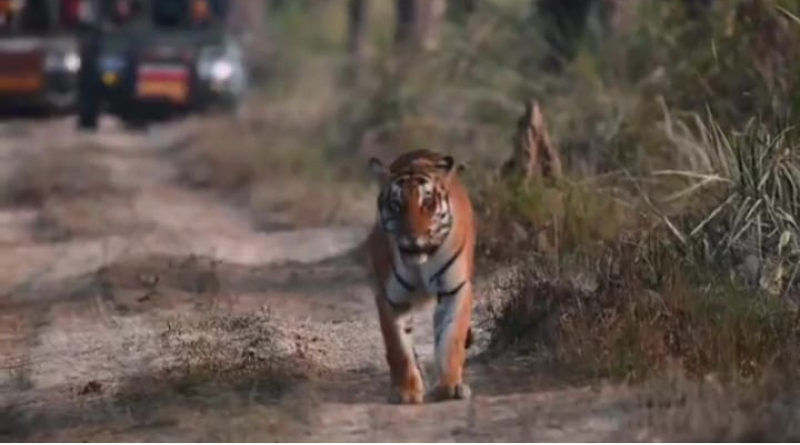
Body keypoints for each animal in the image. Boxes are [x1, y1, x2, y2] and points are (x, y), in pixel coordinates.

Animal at [368, 148, 476, 402]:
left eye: (426, 202)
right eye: (396, 204)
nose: (412, 238)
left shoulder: (455, 290)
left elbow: (451, 338)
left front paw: (450, 386)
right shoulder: (390, 298)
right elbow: (398, 347)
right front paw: (406, 391)